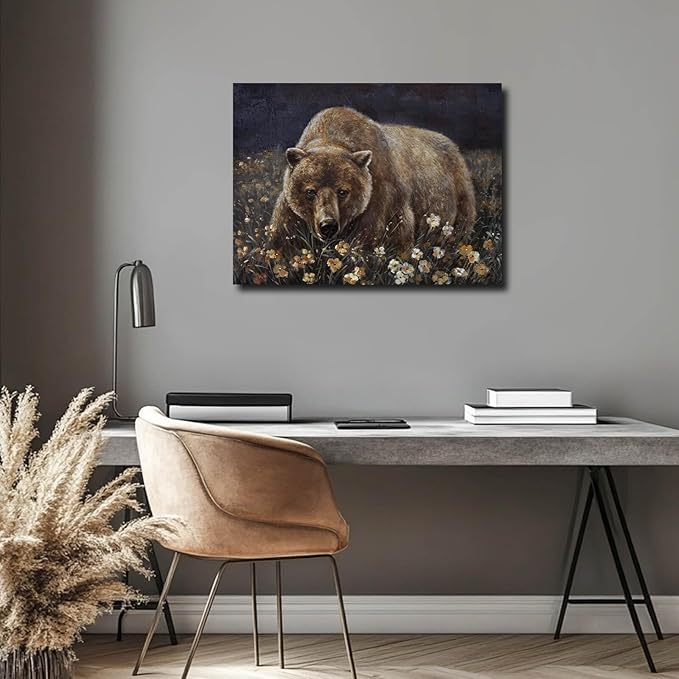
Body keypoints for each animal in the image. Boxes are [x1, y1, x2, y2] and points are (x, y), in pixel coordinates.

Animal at [268, 106, 476, 253]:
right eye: (310, 191)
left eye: (343, 191)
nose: (328, 226)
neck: (332, 138)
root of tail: (452, 143)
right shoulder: (290, 208)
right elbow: (284, 235)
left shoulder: (382, 189)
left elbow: (385, 230)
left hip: (459, 184)